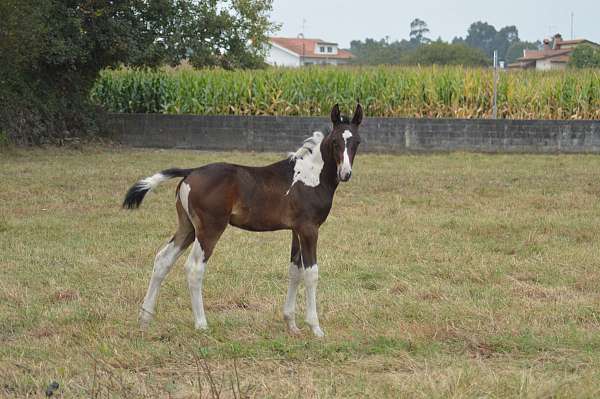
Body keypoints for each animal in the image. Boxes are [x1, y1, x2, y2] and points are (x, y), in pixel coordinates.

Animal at [123, 101, 360, 336]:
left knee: (163, 259)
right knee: (194, 268)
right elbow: (311, 273)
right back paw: (201, 323)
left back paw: (145, 318)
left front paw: (291, 324)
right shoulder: (309, 229)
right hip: (210, 229)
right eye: (335, 142)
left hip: (188, 227)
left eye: (356, 142)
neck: (311, 175)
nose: (345, 174)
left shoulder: (296, 230)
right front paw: (316, 328)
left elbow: (295, 270)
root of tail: (191, 171)